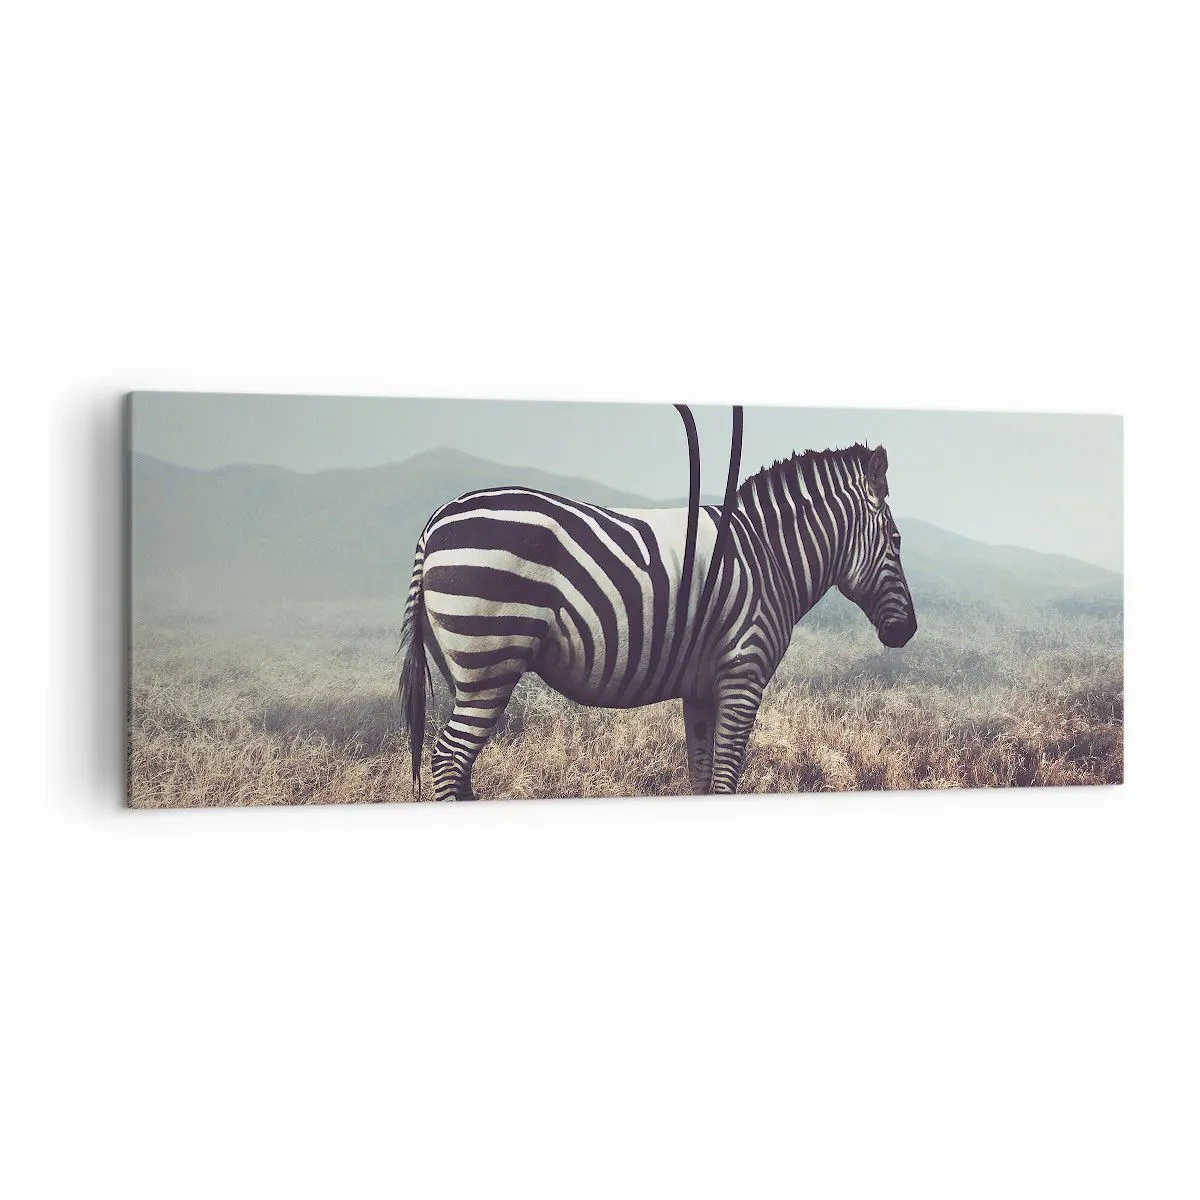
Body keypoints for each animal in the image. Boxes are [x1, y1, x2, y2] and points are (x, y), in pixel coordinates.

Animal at [397, 442, 917, 799]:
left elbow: (703, 779)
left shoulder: (702, 687)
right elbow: (725, 780)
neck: (768, 556)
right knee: (449, 759)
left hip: (462, 671)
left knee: (459, 765)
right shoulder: (743, 675)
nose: (907, 631)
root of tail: (435, 521)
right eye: (896, 540)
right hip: (491, 661)